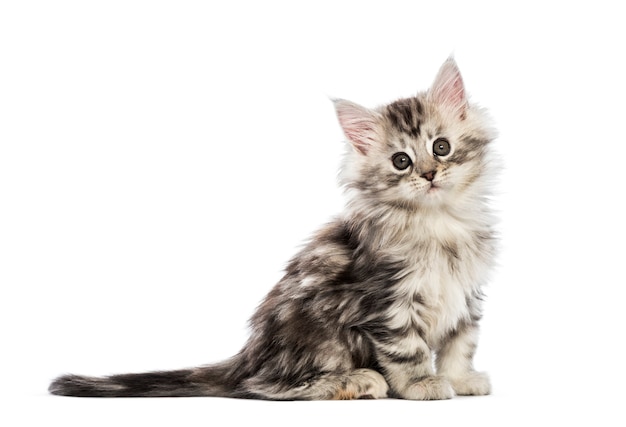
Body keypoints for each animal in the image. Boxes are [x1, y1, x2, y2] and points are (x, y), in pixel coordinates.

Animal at [50, 58, 498, 400]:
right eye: (401, 161)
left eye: (441, 147)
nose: (428, 174)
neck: (437, 221)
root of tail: (248, 355)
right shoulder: (387, 301)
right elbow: (408, 349)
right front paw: (423, 383)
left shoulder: (467, 294)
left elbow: (462, 343)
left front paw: (460, 379)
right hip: (318, 335)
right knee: (265, 386)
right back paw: (356, 381)